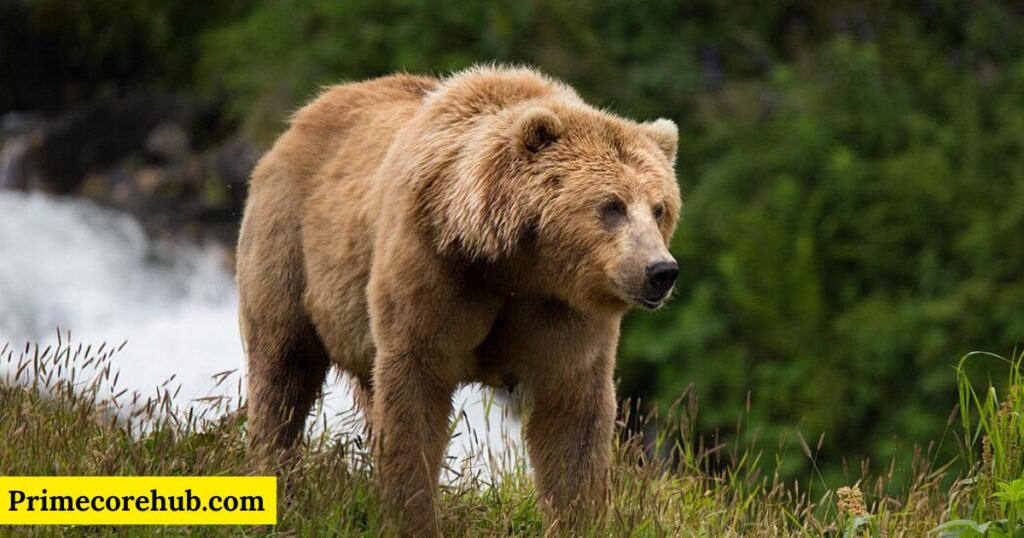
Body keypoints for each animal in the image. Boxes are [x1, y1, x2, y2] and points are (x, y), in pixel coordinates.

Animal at [237, 65, 679, 532]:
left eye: (659, 208)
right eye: (611, 206)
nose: (660, 271)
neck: (514, 264)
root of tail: (302, 117)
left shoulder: (563, 310)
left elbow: (572, 416)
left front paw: (579, 518)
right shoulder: (432, 272)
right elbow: (414, 398)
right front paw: (413, 517)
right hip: (290, 244)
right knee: (283, 370)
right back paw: (276, 475)